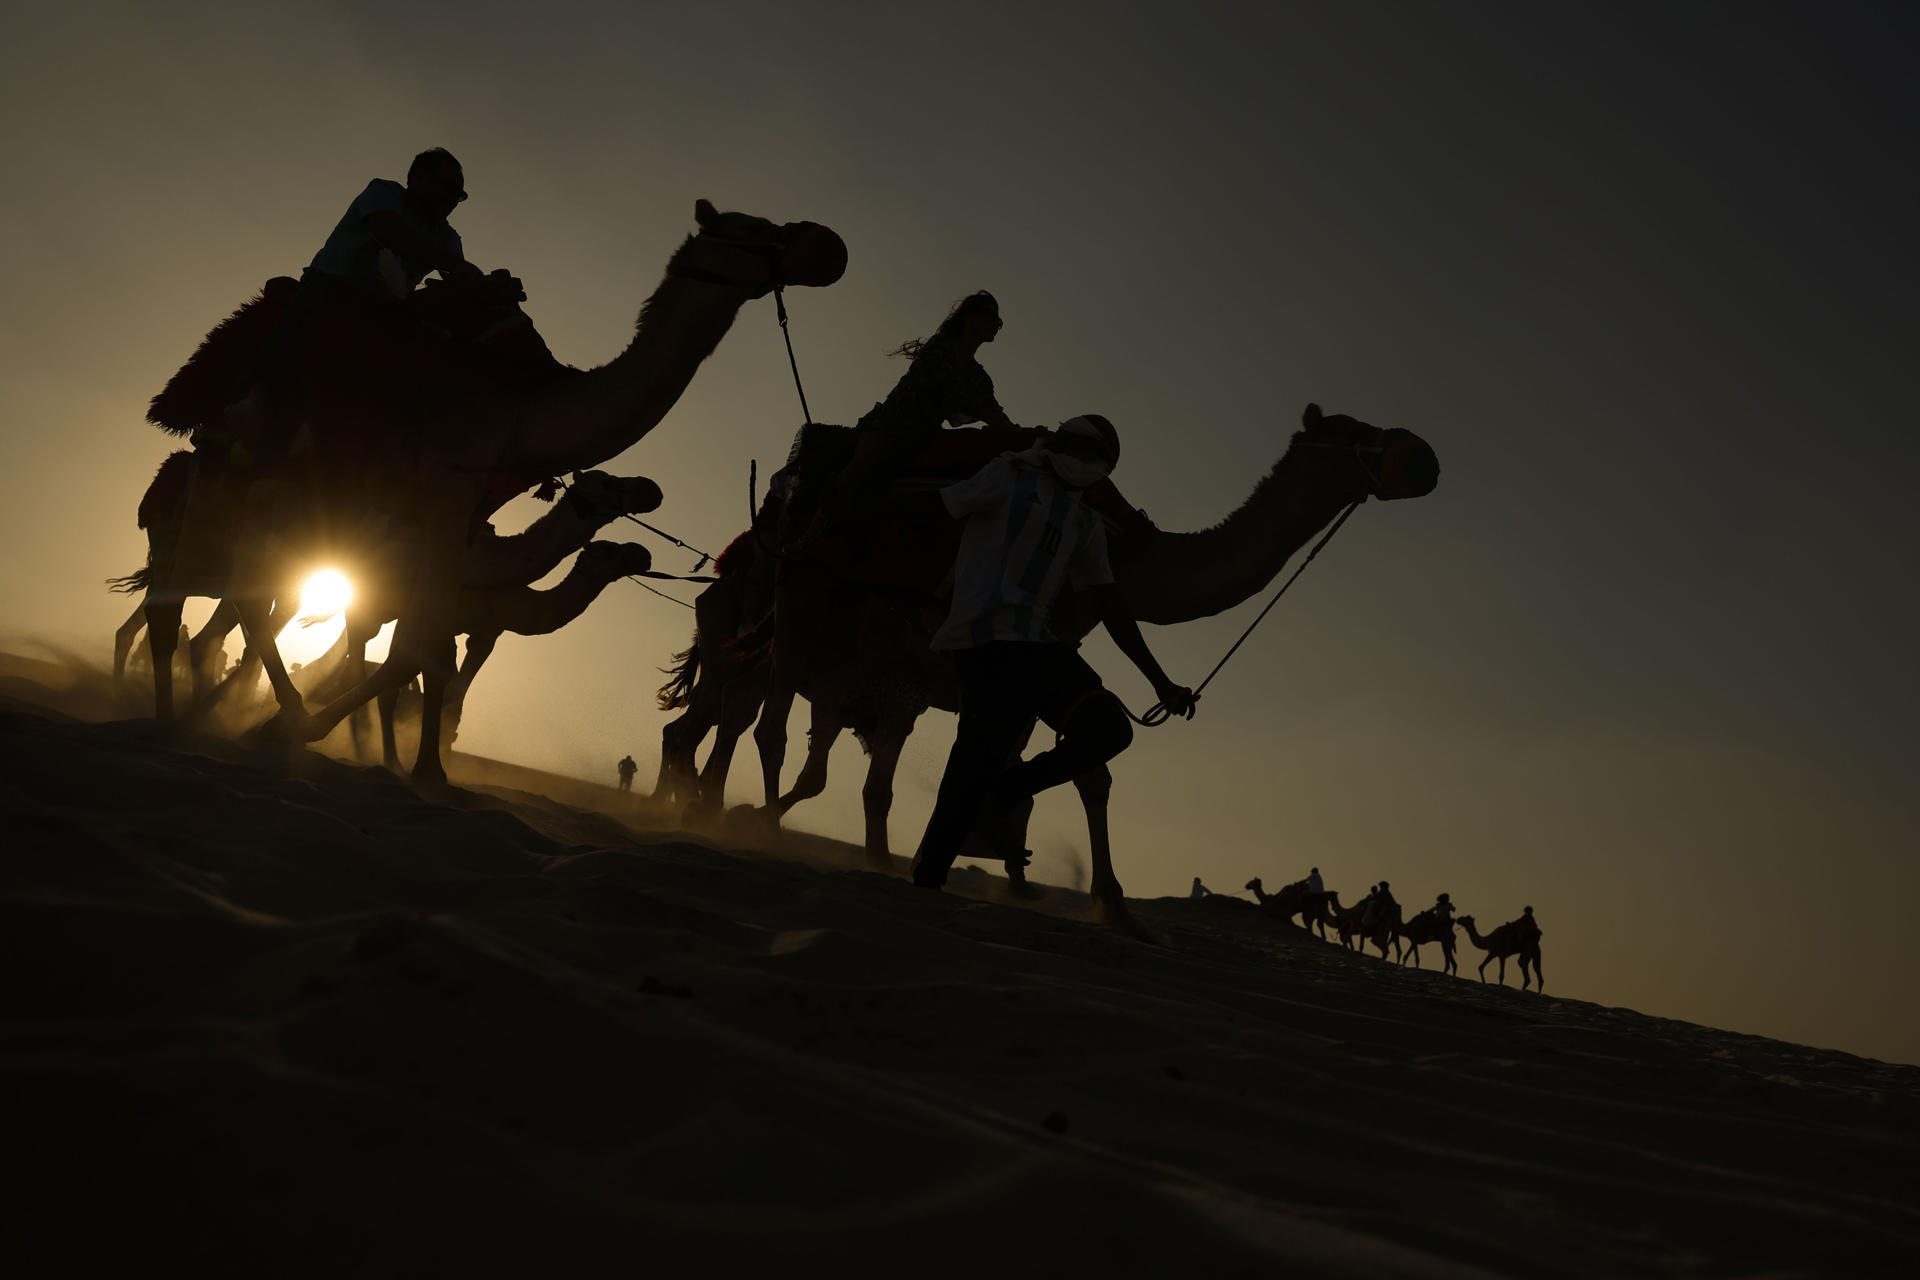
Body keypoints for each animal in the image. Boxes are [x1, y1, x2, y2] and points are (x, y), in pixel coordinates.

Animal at [139, 201, 844, 786]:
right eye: (751, 226)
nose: (826, 244)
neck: (524, 413)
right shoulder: (444, 498)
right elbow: (415, 652)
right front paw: (376, 752)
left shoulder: (463, 515)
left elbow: (417, 652)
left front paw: (379, 752)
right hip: (228, 472)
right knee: (182, 602)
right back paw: (179, 717)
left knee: (239, 602)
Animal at [668, 404, 1436, 936]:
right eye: (1351, 429)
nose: (1424, 455)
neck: (1127, 547)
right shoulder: (926, 667)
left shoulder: (1025, 659)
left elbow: (1079, 769)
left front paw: (1085, 894)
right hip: (790, 618)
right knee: (758, 727)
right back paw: (744, 822)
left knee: (718, 726)